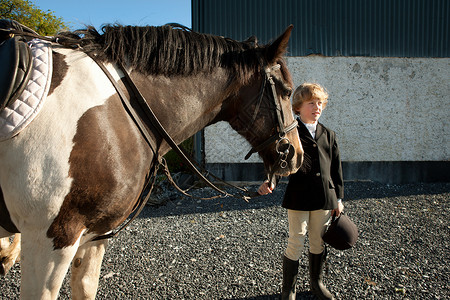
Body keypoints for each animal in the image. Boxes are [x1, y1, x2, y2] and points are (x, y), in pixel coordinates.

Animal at [0, 22, 304, 298]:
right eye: (287, 91)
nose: (297, 156)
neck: (120, 109)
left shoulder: (94, 235)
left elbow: (85, 288)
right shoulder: (50, 238)